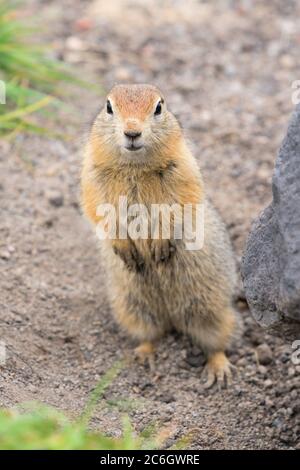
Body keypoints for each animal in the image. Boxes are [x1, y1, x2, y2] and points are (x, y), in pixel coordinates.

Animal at [81, 82, 238, 388]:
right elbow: (98, 210)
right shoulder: (92, 175)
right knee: (150, 334)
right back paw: (144, 355)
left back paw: (218, 370)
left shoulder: (184, 168)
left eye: (158, 107)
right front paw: (128, 249)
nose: (132, 132)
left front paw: (160, 247)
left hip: (211, 306)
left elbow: (181, 205)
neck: (134, 166)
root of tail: (172, 316)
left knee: (219, 338)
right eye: (109, 106)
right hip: (131, 306)